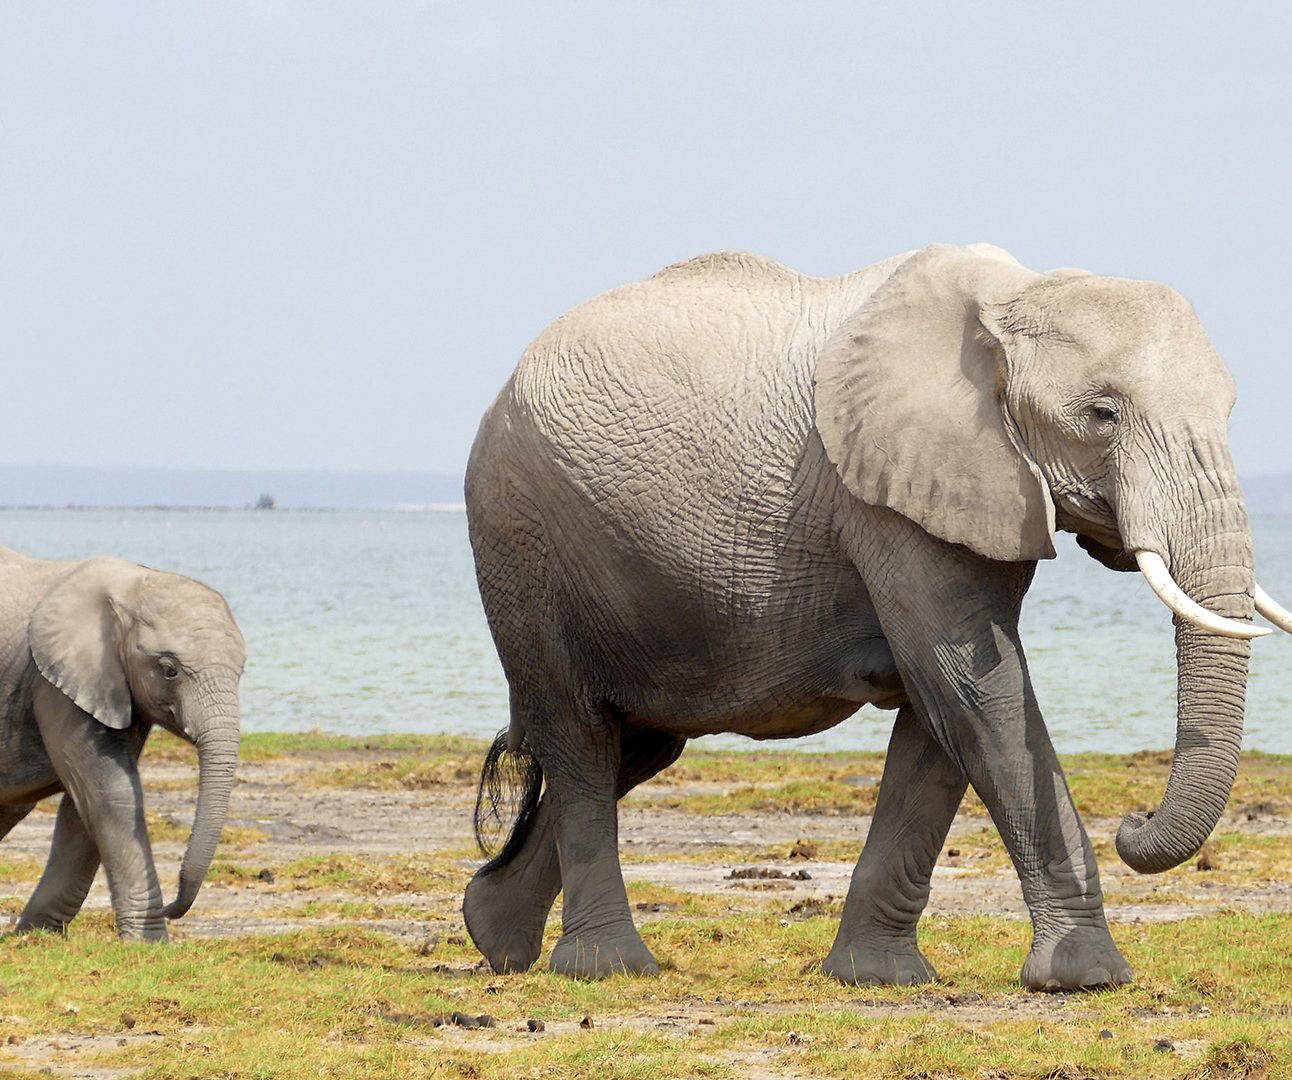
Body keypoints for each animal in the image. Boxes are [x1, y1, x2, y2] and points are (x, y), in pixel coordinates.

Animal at [0, 547, 245, 935]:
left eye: (242, 671)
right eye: (169, 669)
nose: (173, 907)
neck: (133, 586)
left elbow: (83, 805)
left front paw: (36, 934)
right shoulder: (56, 681)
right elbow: (110, 793)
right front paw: (150, 941)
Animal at [465, 242, 1292, 986]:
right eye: (1103, 414)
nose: (1134, 823)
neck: (1013, 296)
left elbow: (944, 714)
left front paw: (880, 977)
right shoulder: (887, 499)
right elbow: (976, 690)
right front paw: (1088, 978)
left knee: (636, 745)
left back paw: (494, 937)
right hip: (520, 540)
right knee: (579, 735)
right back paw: (606, 967)